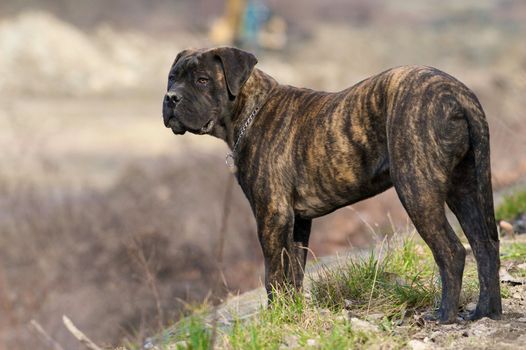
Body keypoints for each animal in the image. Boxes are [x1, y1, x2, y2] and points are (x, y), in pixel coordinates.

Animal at [163, 47, 506, 326]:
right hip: (465, 187)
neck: (250, 110)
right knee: (485, 245)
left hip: (417, 188)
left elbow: (273, 274)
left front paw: (274, 318)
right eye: (172, 79)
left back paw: (445, 315)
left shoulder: (272, 216)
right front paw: (292, 314)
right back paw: (486, 312)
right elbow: (293, 273)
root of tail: (456, 92)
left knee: (451, 250)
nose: (170, 98)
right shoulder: (296, 222)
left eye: (203, 80)